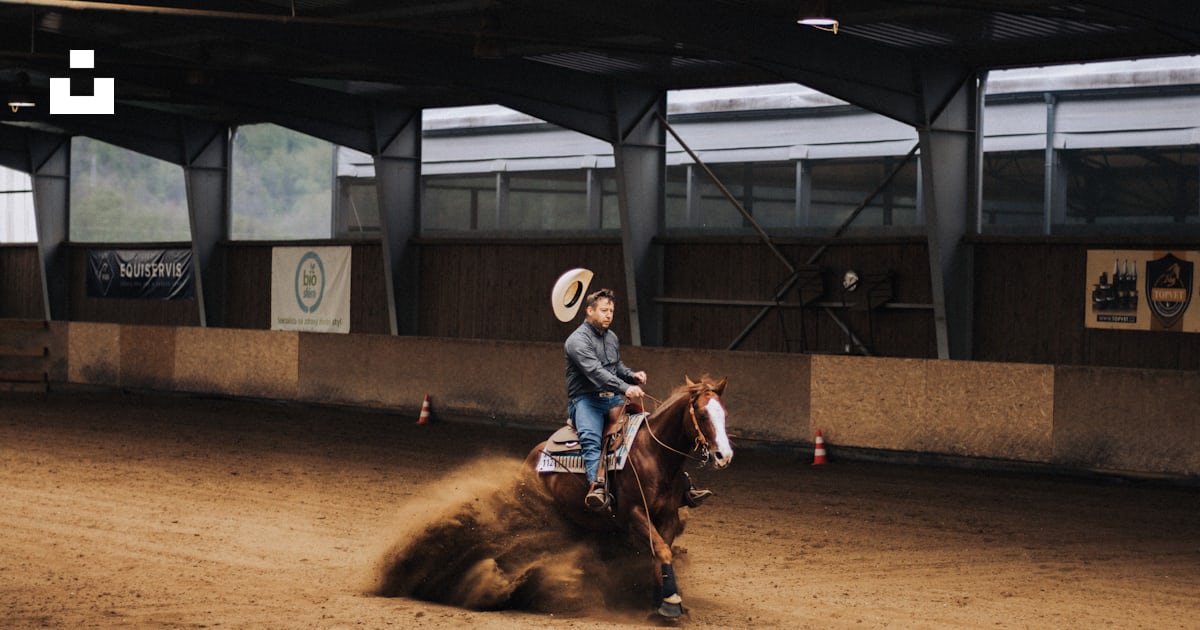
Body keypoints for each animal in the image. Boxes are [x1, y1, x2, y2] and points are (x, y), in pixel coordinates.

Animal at [523, 375, 733, 618]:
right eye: (701, 414)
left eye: (724, 414)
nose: (724, 455)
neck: (654, 454)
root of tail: (533, 455)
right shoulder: (634, 514)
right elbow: (662, 550)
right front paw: (670, 601)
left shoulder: (669, 516)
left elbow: (660, 552)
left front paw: (660, 597)